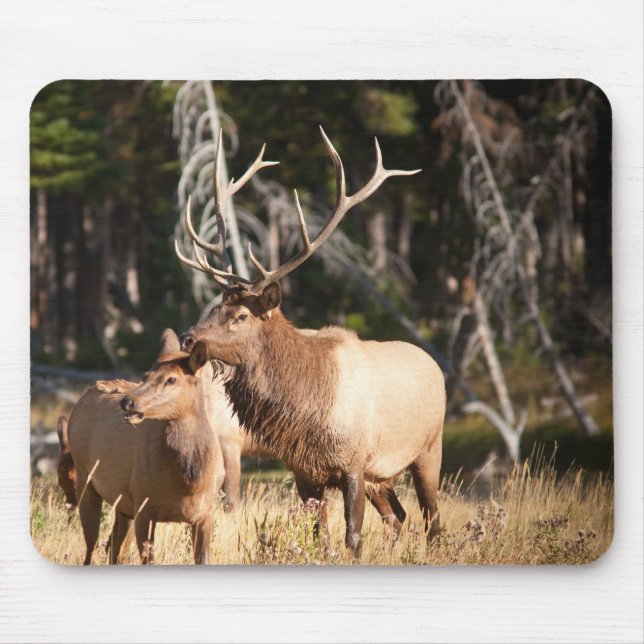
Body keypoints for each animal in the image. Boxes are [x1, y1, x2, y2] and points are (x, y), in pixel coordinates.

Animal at [60, 329, 224, 564]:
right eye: (146, 375)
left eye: (171, 379)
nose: (127, 402)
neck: (190, 483)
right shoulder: (144, 507)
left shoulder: (205, 513)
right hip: (85, 477)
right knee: (92, 548)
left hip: (124, 504)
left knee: (114, 547)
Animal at [176, 127, 446, 555]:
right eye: (215, 306)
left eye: (240, 316)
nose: (187, 338)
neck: (307, 413)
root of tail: (434, 364)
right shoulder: (305, 472)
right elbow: (321, 539)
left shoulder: (353, 464)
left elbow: (353, 538)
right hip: (382, 477)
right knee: (398, 517)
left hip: (428, 449)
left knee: (432, 519)